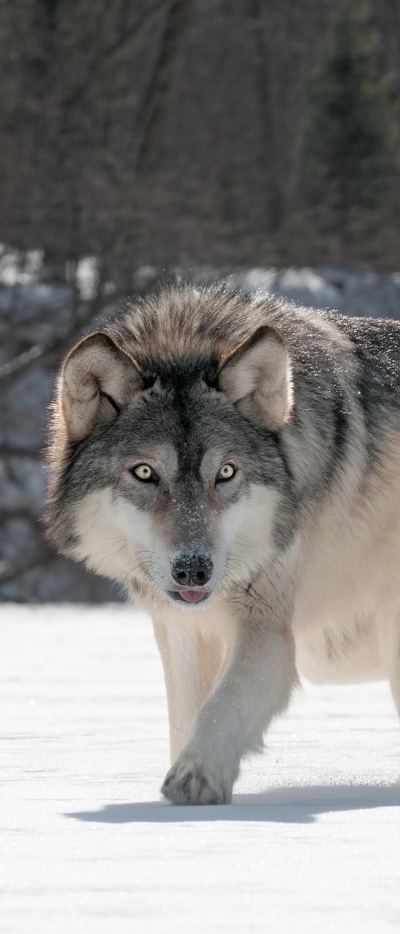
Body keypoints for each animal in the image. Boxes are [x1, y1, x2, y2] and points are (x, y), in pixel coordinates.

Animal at [47, 283, 400, 804]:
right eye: (145, 472)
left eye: (226, 472)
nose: (194, 569)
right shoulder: (183, 630)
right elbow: (187, 715)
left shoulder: (266, 628)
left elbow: (222, 705)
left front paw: (197, 776)